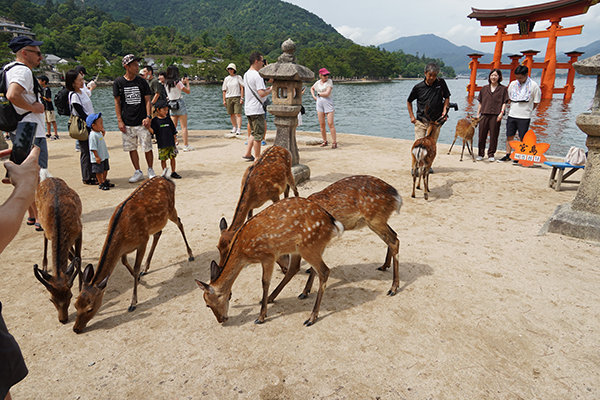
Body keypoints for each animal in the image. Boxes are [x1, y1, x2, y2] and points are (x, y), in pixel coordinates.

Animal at [33, 171, 82, 324]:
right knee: (44, 238)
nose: (63, 319)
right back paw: (44, 264)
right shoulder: (50, 232)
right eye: (51, 299)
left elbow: (78, 258)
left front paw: (82, 286)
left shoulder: (79, 230)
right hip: (42, 222)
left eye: (70, 296)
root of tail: (48, 177)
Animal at [73, 170, 194, 334]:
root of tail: (166, 177)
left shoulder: (142, 240)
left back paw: (190, 255)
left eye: (90, 308)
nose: (76, 329)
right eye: (75, 304)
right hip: (157, 222)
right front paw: (140, 279)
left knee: (180, 222)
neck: (122, 234)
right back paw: (146, 268)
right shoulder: (124, 249)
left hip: (170, 209)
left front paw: (133, 302)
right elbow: (125, 262)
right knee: (158, 233)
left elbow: (135, 268)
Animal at [196, 197, 344, 326]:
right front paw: (264, 307)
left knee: (324, 271)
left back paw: (311, 318)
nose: (221, 319)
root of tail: (333, 223)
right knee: (297, 268)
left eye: (208, 304)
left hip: (308, 246)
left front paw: (261, 317)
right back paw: (288, 295)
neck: (243, 253)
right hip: (303, 248)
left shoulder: (268, 255)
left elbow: (265, 282)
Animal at [266, 175, 402, 304]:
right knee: (394, 235)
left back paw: (393, 288)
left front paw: (270, 299)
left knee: (394, 240)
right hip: (378, 220)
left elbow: (294, 269)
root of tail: (396, 196)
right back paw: (384, 266)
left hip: (375, 219)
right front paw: (305, 290)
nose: (282, 269)